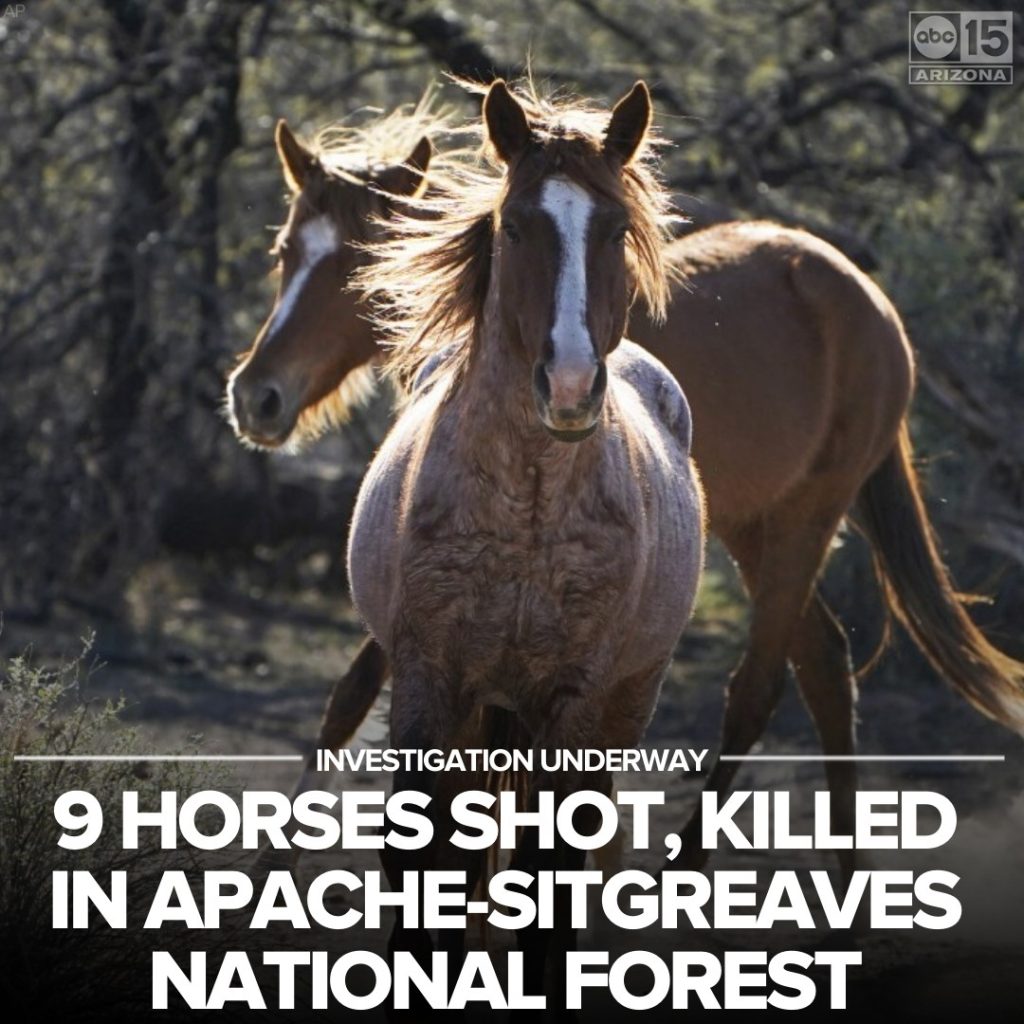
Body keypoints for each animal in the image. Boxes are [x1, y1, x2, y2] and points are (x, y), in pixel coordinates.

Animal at [227, 91, 1024, 884]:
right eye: (288, 252)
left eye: (360, 258)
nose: (258, 396)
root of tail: (873, 303)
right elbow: (356, 699)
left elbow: (367, 694)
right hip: (755, 527)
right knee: (824, 663)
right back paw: (846, 874)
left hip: (807, 518)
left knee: (759, 687)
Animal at [345, 78, 704, 1003]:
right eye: (513, 226)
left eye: (615, 228)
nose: (571, 386)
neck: (528, 512)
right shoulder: (430, 685)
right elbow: (423, 876)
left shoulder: (570, 702)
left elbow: (549, 889)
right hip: (488, 712)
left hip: (617, 705)